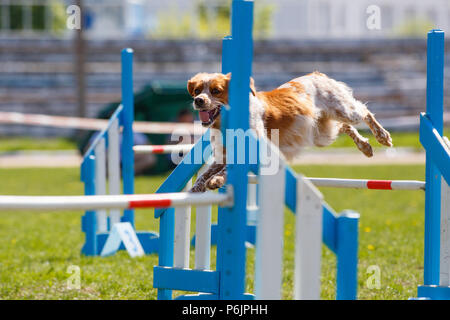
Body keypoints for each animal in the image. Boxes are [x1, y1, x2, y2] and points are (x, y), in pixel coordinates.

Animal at [186, 72, 390, 192]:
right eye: (196, 90)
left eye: (216, 90)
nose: (198, 100)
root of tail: (317, 73)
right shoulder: (223, 155)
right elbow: (205, 173)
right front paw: (196, 188)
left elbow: (227, 169)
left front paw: (216, 180)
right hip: (321, 133)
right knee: (344, 126)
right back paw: (365, 146)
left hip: (343, 111)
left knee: (364, 111)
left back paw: (382, 137)